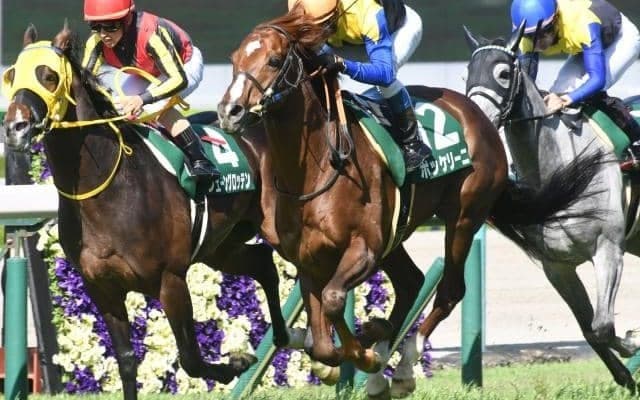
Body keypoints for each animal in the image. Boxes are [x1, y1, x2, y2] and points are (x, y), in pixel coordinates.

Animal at [1, 23, 289, 400]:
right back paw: (283, 335)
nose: (14, 128)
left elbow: (190, 358)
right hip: (220, 247)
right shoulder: (102, 287)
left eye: (48, 75)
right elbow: (126, 360)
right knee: (263, 263)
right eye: (12, 74)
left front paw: (236, 363)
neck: (108, 190)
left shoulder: (170, 280)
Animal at [216, 9, 606, 398]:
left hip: (463, 217)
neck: (316, 170)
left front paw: (366, 351)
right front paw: (348, 349)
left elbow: (333, 301)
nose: (229, 111)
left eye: (274, 60)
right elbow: (323, 342)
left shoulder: (365, 248)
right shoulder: (309, 258)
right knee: (411, 282)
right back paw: (381, 361)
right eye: (234, 60)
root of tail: (476, 112)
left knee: (448, 290)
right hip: (397, 233)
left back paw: (401, 367)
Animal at [463, 24, 640, 391]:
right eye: (467, 74)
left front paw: (632, 342)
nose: (476, 122)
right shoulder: (557, 267)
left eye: (503, 73)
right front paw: (625, 375)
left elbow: (603, 325)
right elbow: (591, 330)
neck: (564, 166)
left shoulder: (608, 250)